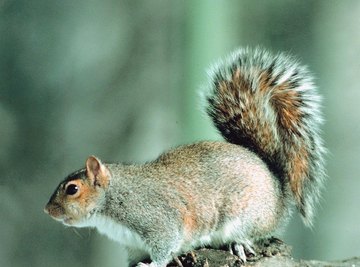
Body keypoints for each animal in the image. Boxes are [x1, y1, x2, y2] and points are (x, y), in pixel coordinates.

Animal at [44, 47, 326, 266]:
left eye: (72, 189)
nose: (47, 210)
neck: (112, 200)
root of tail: (277, 184)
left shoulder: (156, 219)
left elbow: (165, 246)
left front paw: (152, 265)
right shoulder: (134, 244)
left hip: (246, 215)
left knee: (249, 232)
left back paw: (239, 243)